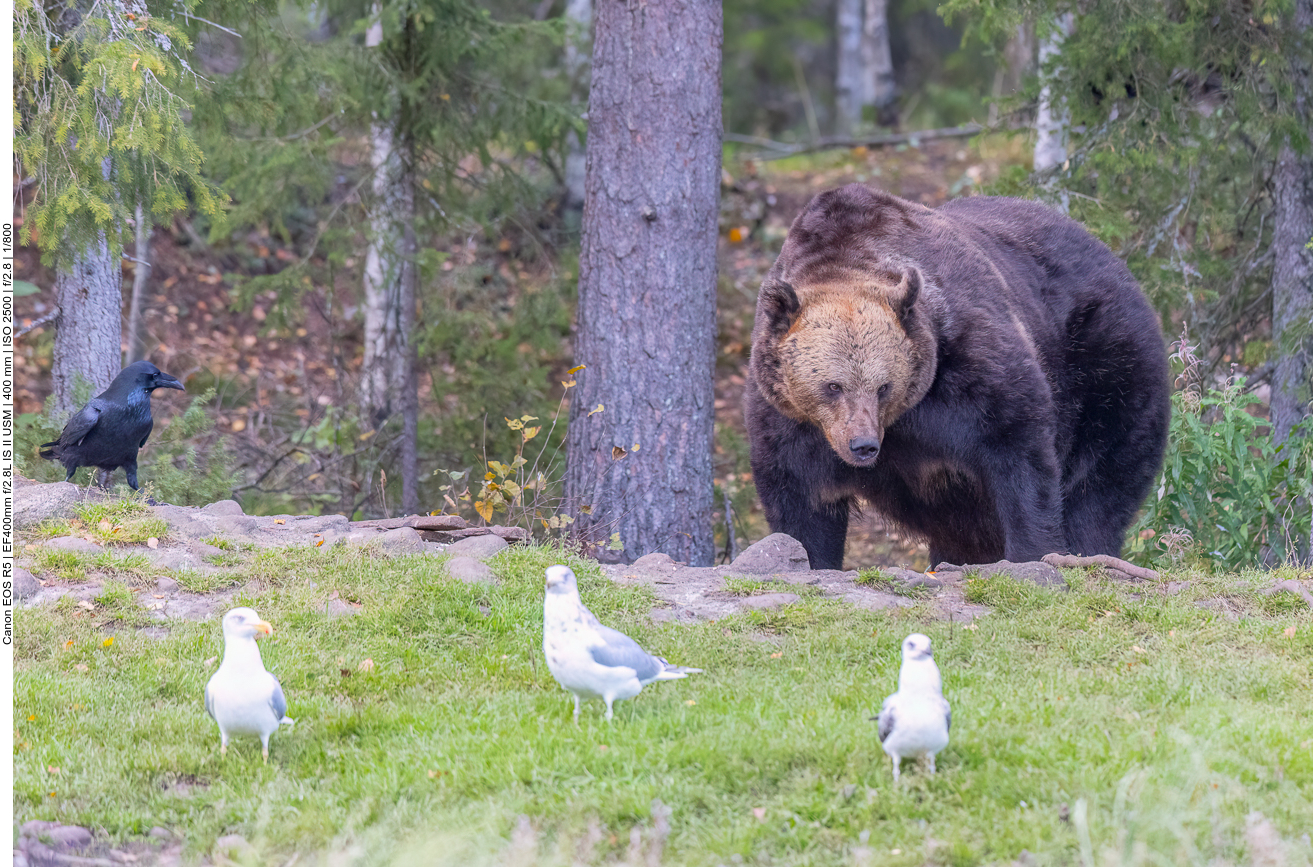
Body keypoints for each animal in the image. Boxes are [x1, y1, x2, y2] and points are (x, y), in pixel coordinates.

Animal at [745, 184, 1171, 570]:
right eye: (833, 386)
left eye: (883, 387)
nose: (863, 445)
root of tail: (1112, 256)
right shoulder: (788, 418)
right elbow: (801, 501)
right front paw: (803, 558)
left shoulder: (968, 368)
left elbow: (1019, 451)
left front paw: (1034, 553)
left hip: (1106, 359)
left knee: (1100, 479)